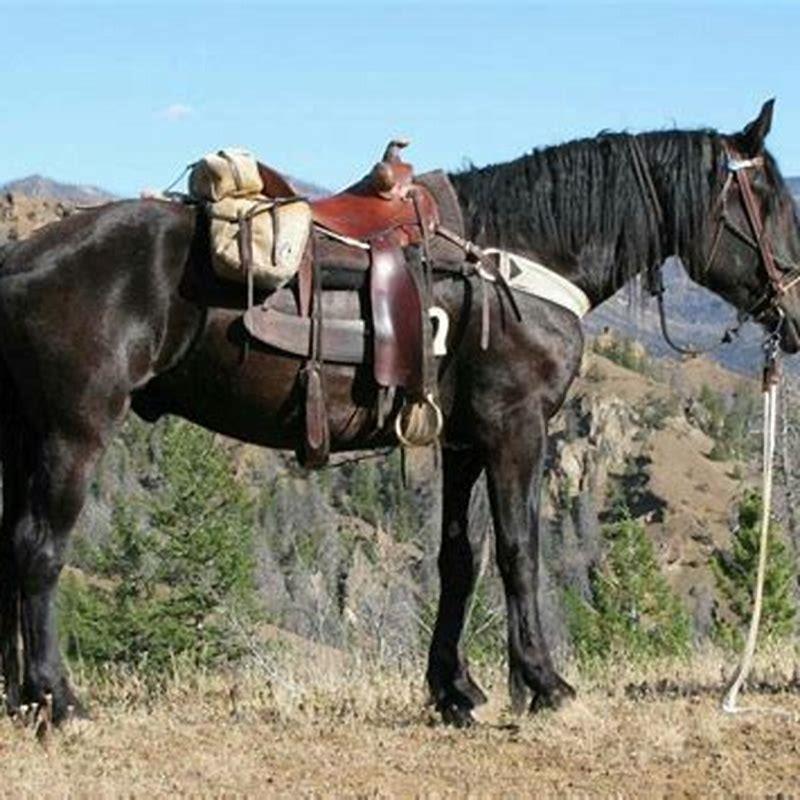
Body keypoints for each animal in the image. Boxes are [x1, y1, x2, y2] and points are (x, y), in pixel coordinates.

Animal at [0, 100, 798, 726]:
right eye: (771, 200)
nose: (792, 315)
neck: (513, 261)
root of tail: (21, 260)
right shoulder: (517, 429)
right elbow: (520, 552)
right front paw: (544, 684)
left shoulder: (463, 441)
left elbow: (459, 560)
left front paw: (455, 691)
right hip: (75, 432)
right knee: (41, 550)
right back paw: (57, 700)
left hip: (28, 436)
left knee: (12, 548)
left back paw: (21, 698)